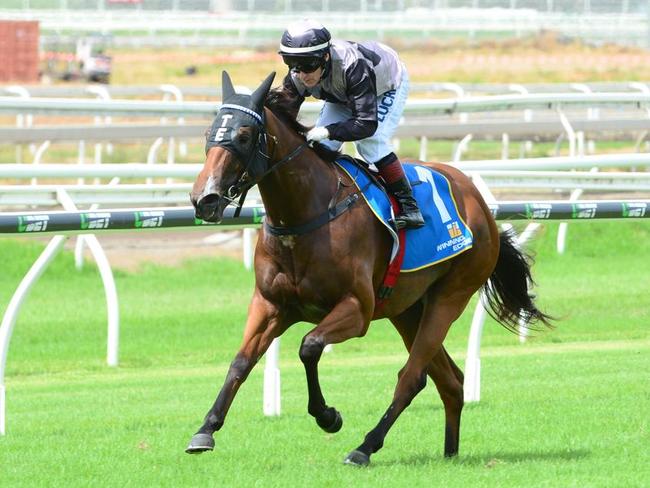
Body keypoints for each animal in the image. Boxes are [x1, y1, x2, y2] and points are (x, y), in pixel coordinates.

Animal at [187, 71, 552, 466]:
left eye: (243, 135)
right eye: (209, 132)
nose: (204, 198)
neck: (307, 214)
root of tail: (478, 201)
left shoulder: (357, 309)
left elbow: (309, 346)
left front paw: (328, 416)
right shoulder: (270, 305)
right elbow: (241, 362)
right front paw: (205, 430)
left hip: (450, 296)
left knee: (412, 376)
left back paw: (365, 447)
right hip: (407, 309)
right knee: (449, 380)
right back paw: (449, 453)